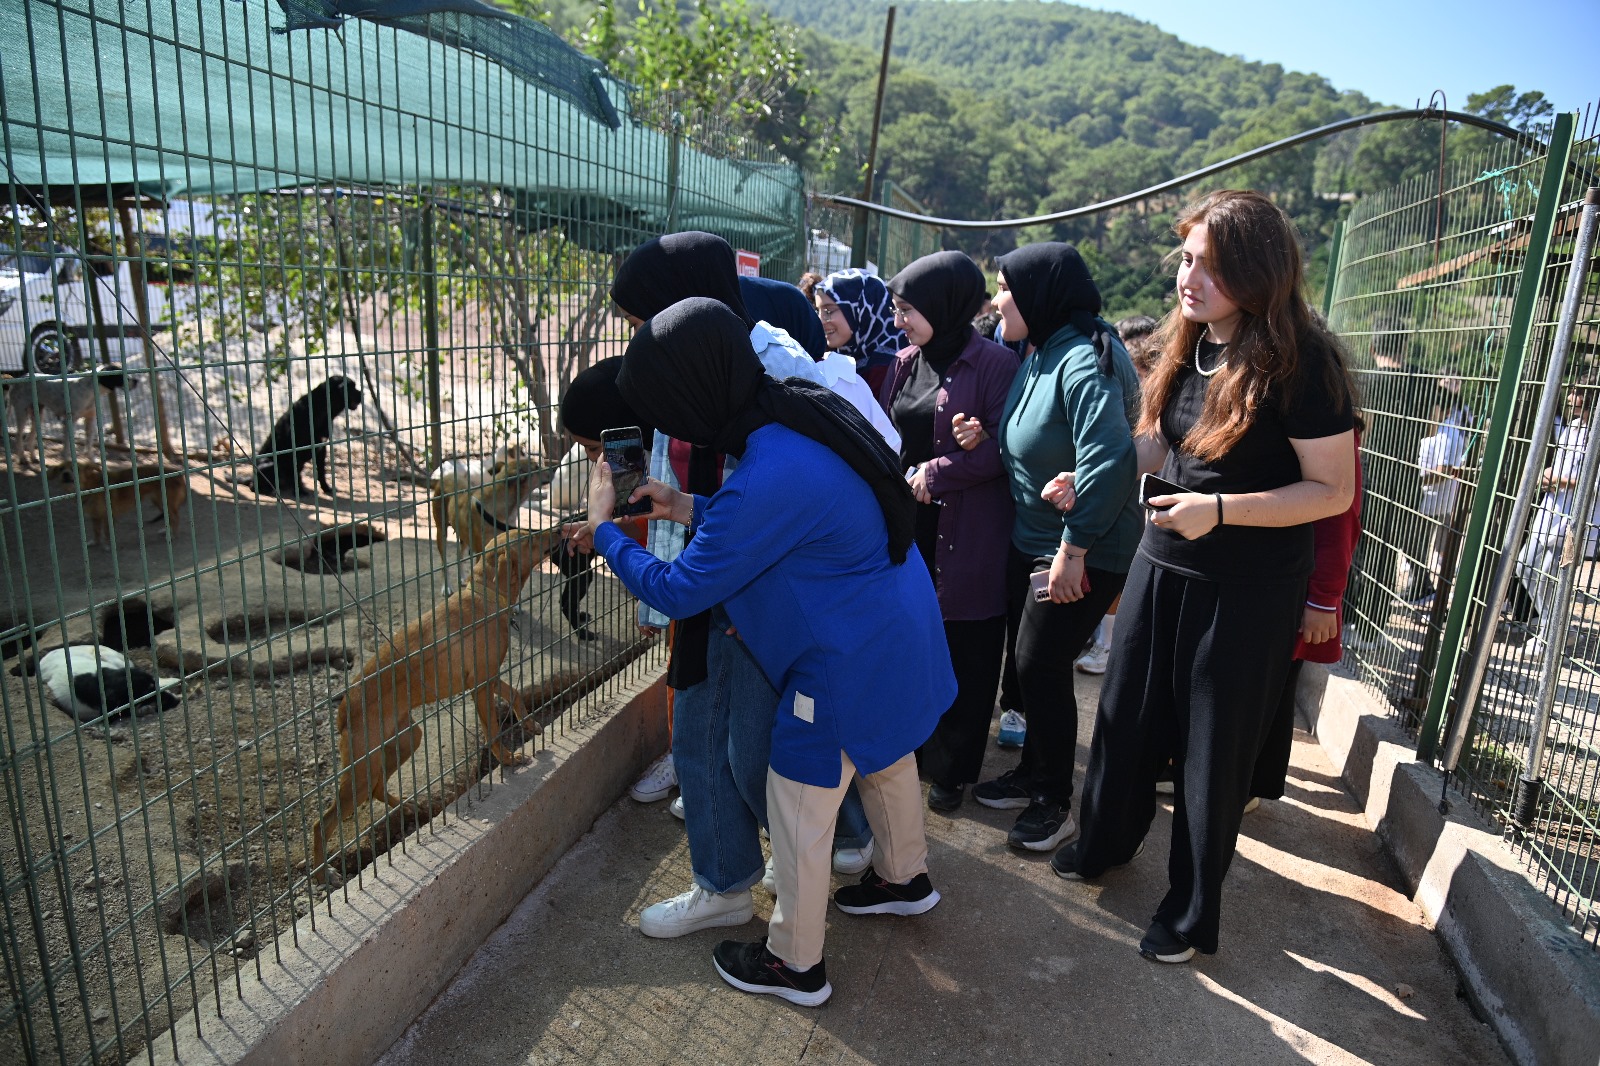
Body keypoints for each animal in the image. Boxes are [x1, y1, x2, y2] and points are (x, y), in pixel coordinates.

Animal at [50, 457, 188, 544]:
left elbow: (106, 532)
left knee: (175, 518)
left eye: (76, 468)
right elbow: (96, 531)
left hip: (165, 502)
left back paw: (172, 536)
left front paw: (107, 545)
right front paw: (95, 542)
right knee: (170, 517)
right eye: (61, 469)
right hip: (159, 502)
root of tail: (178, 474)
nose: (65, 474)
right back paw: (166, 530)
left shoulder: (108, 516)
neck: (90, 486)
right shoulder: (95, 516)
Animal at [312, 518, 563, 877]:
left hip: (405, 740)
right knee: (323, 822)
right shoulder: (480, 686)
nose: (559, 530)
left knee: (377, 788)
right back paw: (323, 873)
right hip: (362, 768)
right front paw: (508, 759)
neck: (484, 595)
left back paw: (409, 807)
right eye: (528, 539)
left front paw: (529, 725)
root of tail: (345, 706)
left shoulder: (488, 679)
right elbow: (493, 732)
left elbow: (515, 694)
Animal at [428, 438, 547, 589]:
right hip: (441, 531)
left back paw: (461, 578)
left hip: (464, 535)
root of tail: (445, 475)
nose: (553, 468)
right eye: (536, 466)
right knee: (444, 563)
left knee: (459, 555)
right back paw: (446, 587)